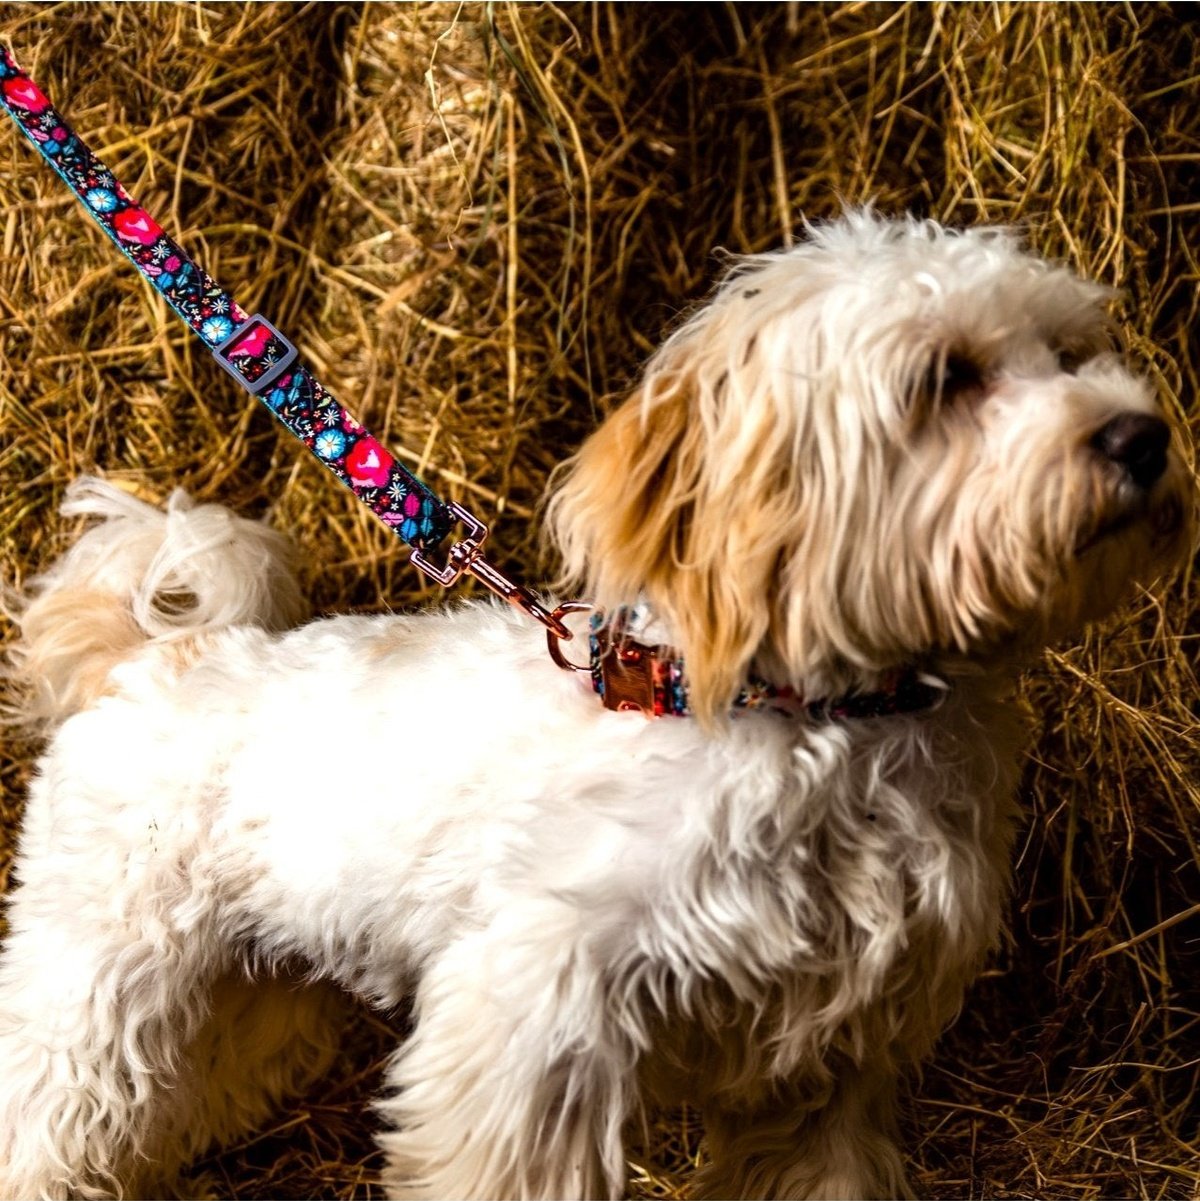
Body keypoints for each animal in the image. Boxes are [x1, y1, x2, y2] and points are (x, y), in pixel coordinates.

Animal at [0, 211, 1191, 1196]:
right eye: (948, 377)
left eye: (1073, 352)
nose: (1143, 437)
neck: (811, 717)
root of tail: (151, 657)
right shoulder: (530, 1022)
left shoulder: (830, 1063)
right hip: (93, 989)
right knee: (45, 1117)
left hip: (253, 988)